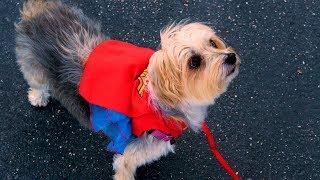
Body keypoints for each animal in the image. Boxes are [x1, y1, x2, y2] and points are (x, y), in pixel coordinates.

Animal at [15, 0, 240, 179]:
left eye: (213, 43)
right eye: (194, 62)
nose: (231, 57)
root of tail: (40, 9)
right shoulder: (128, 152)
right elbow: (124, 168)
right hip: (33, 65)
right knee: (36, 81)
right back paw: (37, 96)